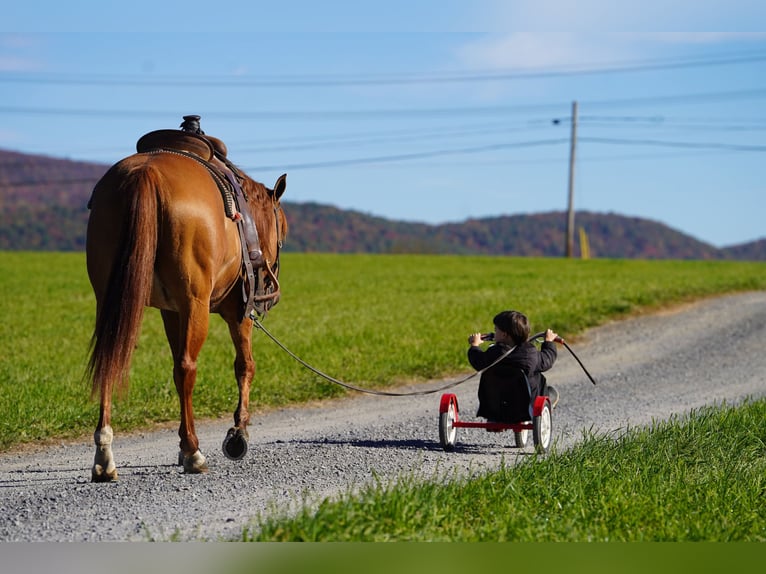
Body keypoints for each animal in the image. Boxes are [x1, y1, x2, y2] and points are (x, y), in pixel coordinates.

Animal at [85, 131, 287, 482]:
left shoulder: (171, 311)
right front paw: (238, 433)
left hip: (110, 301)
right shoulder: (238, 310)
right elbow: (244, 366)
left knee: (109, 361)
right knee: (186, 368)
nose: (270, 296)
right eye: (283, 235)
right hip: (197, 304)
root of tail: (146, 173)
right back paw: (194, 451)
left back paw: (105, 455)